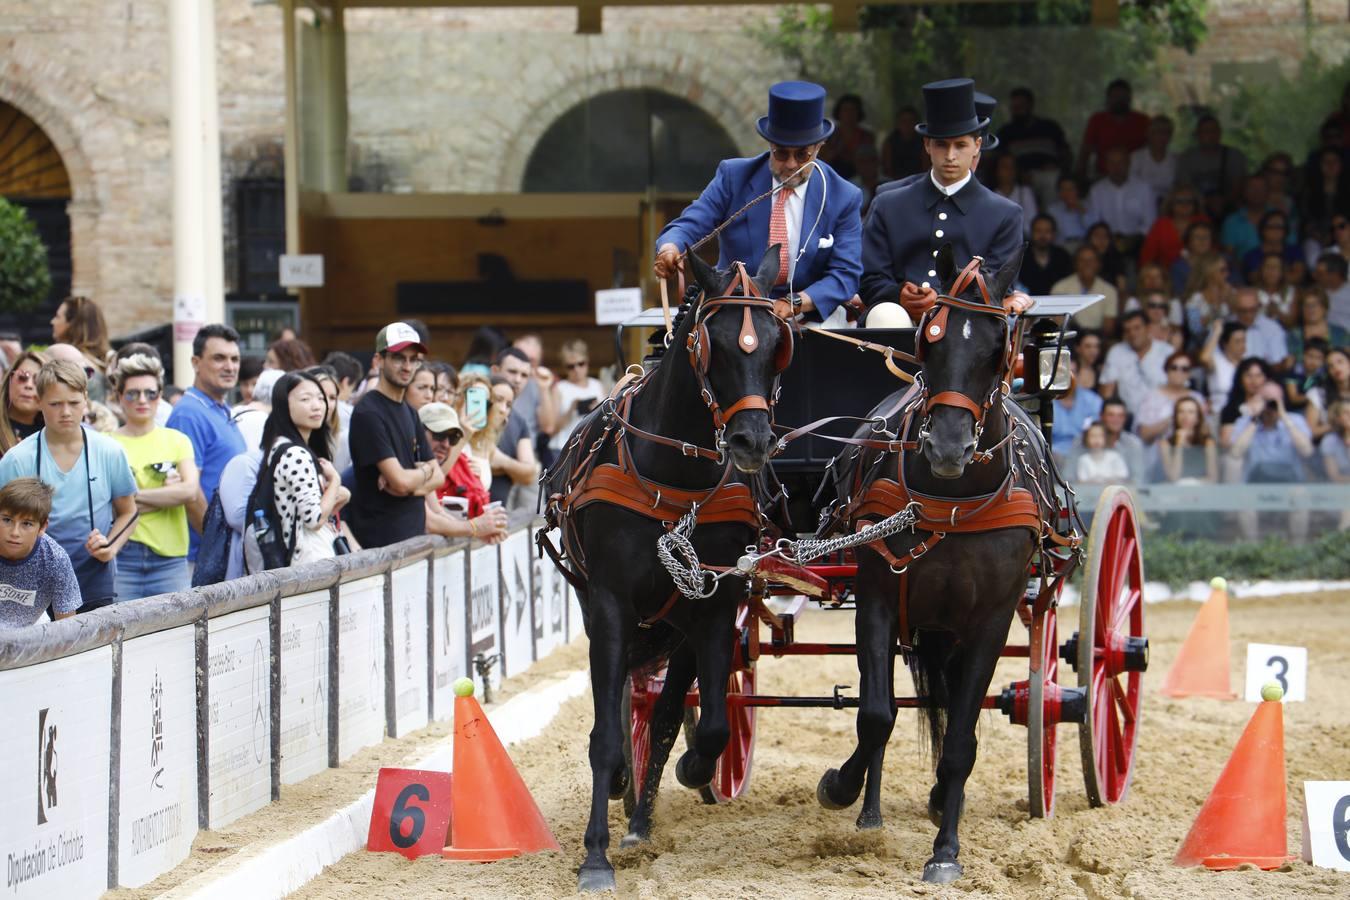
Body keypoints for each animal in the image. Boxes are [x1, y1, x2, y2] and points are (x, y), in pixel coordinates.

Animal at [540, 246, 788, 895]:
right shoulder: (609, 604)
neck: (674, 479)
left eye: (778, 341)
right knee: (626, 700)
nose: (752, 441)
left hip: (678, 621)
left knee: (670, 710)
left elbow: (710, 724)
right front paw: (595, 856)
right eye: (712, 343)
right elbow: (606, 734)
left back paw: (643, 814)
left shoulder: (714, 603)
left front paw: (693, 769)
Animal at [815, 246, 1047, 885]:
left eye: (997, 347)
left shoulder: (992, 620)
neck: (953, 500)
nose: (946, 448)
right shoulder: (876, 597)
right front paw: (841, 788)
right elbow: (876, 714)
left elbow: (963, 739)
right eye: (930, 341)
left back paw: (945, 800)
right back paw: (869, 813)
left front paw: (946, 850)